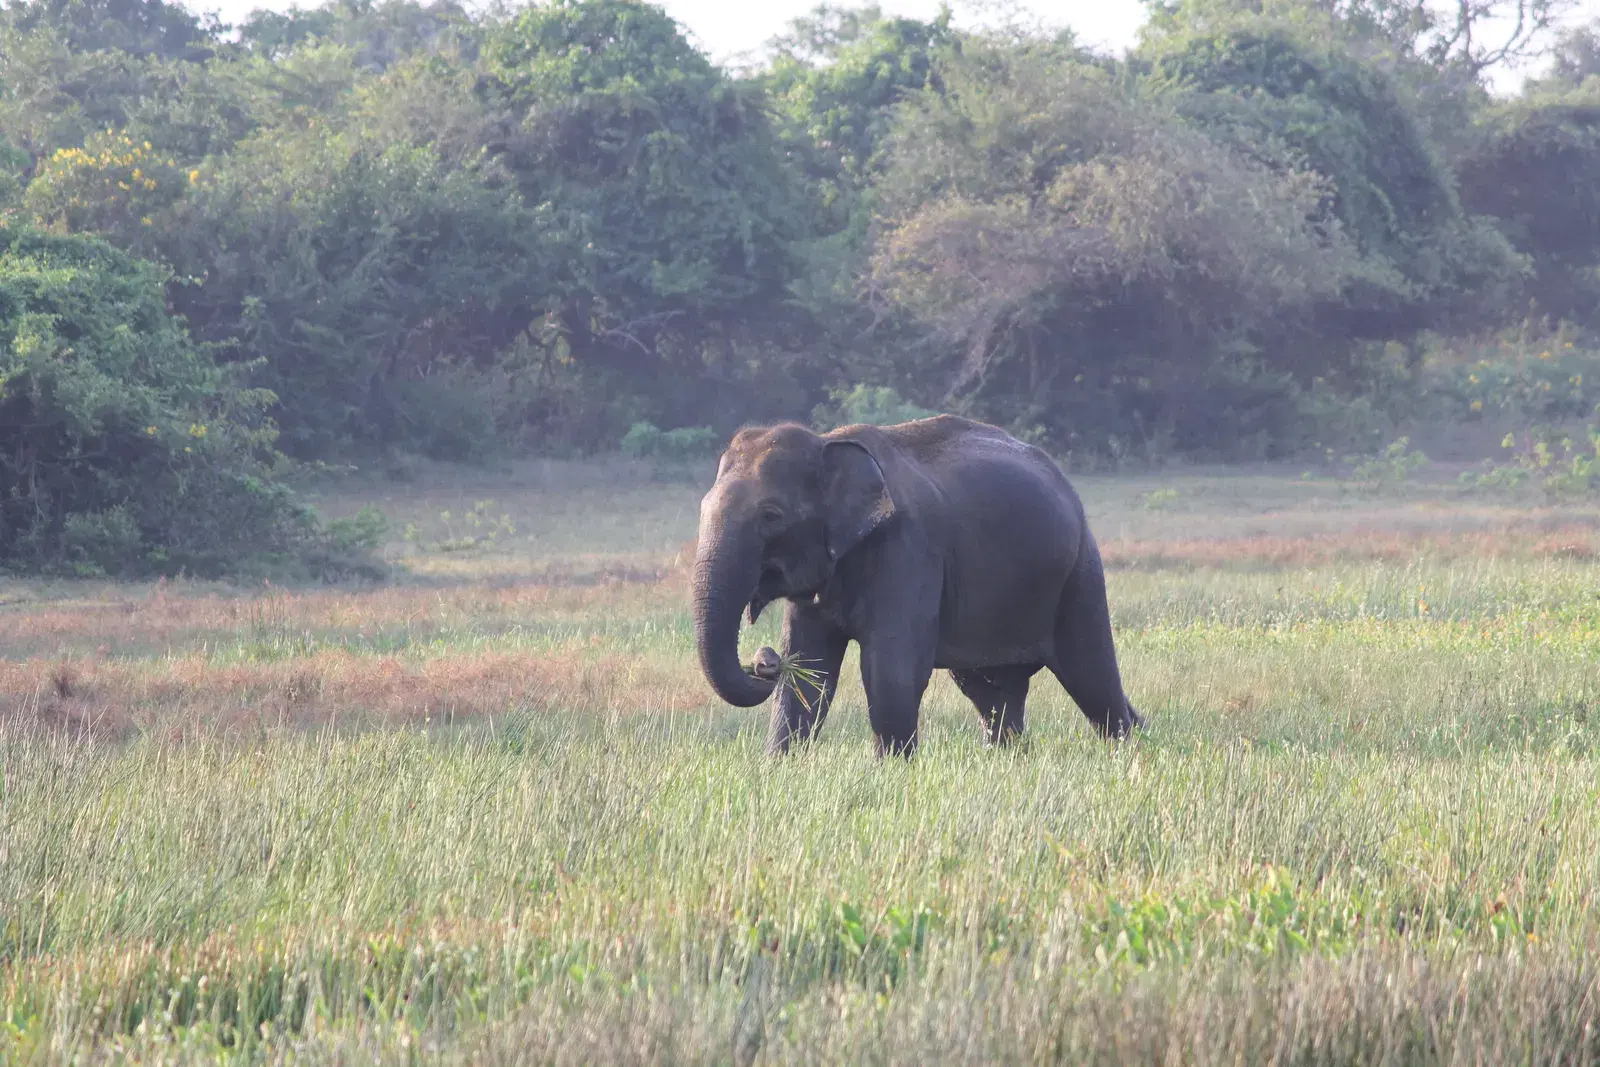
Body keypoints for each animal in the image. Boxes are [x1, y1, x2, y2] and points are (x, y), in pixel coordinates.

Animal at [691, 414, 1143, 757]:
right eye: (703, 507)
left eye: (771, 515)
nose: (764, 660)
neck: (828, 443)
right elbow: (810, 670)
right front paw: (780, 766)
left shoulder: (909, 549)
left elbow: (889, 668)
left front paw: (891, 771)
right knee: (992, 691)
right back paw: (1010, 758)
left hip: (1080, 571)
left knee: (1091, 675)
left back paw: (1127, 750)